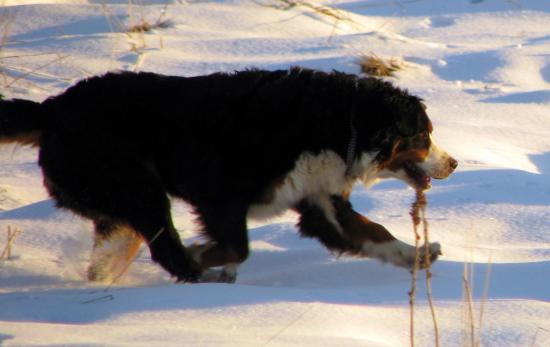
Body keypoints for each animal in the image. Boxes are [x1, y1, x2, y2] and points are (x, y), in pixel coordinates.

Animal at [0, 68, 458, 282]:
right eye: (423, 136)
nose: (453, 163)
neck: (336, 125)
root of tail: (50, 109)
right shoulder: (220, 194)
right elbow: (237, 247)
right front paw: (204, 254)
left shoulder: (321, 201)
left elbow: (374, 232)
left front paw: (418, 253)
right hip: (137, 188)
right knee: (166, 250)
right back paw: (203, 273)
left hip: (118, 199)